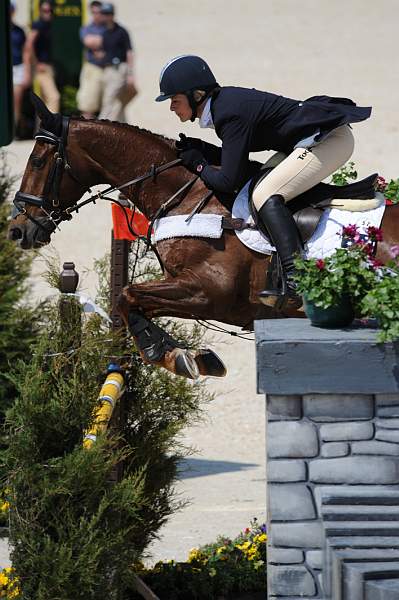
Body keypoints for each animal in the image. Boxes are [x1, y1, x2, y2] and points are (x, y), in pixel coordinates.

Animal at [7, 97, 399, 380]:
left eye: (38, 162)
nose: (17, 230)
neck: (188, 196)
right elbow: (133, 301)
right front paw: (189, 356)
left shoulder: (208, 292)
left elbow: (127, 295)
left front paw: (174, 357)